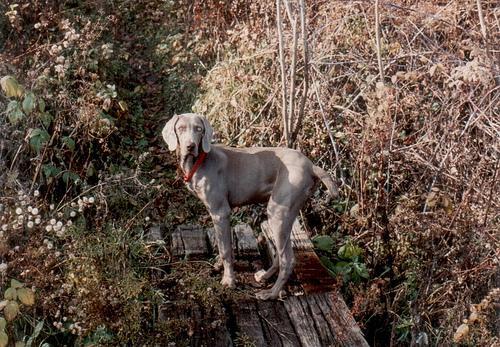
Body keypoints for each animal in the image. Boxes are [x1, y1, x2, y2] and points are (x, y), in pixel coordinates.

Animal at [162, 113, 338, 300]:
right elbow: (222, 244)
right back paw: (265, 276)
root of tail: (311, 165)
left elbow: (226, 250)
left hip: (277, 211)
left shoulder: (220, 212)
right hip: (287, 213)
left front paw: (229, 280)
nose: (190, 146)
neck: (199, 162)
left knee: (288, 259)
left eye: (199, 129)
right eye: (181, 128)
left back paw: (271, 293)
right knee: (282, 251)